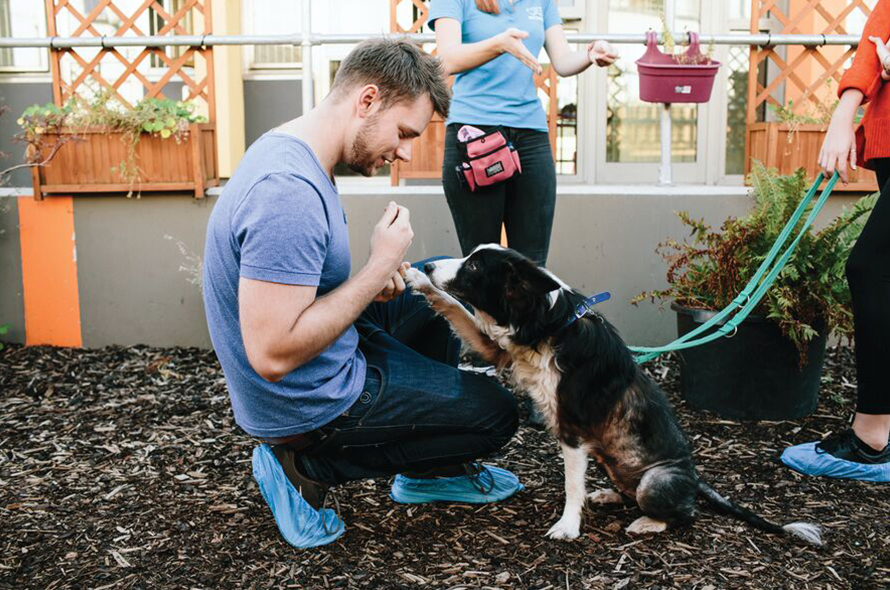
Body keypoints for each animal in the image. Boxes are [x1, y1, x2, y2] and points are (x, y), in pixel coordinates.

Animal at [402, 244, 820, 544]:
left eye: (474, 267)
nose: (430, 267)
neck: (552, 322)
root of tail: (694, 479)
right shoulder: (496, 349)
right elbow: (453, 308)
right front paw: (415, 279)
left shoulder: (572, 430)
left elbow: (571, 485)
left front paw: (568, 527)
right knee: (630, 492)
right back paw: (608, 495)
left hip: (656, 481)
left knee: (685, 515)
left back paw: (647, 523)